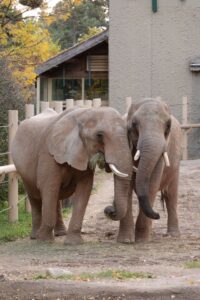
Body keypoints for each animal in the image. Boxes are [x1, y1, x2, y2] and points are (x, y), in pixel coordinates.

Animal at [11, 106, 133, 245]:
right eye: (99, 135)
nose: (109, 209)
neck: (83, 113)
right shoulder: (48, 154)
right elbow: (48, 187)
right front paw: (44, 240)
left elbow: (84, 189)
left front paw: (73, 242)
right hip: (23, 170)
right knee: (35, 196)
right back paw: (35, 236)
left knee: (55, 198)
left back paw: (60, 233)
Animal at [114, 98, 181, 244]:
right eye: (134, 124)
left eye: (168, 125)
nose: (157, 215)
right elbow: (127, 187)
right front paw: (125, 240)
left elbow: (152, 184)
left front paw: (142, 240)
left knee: (171, 195)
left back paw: (173, 235)